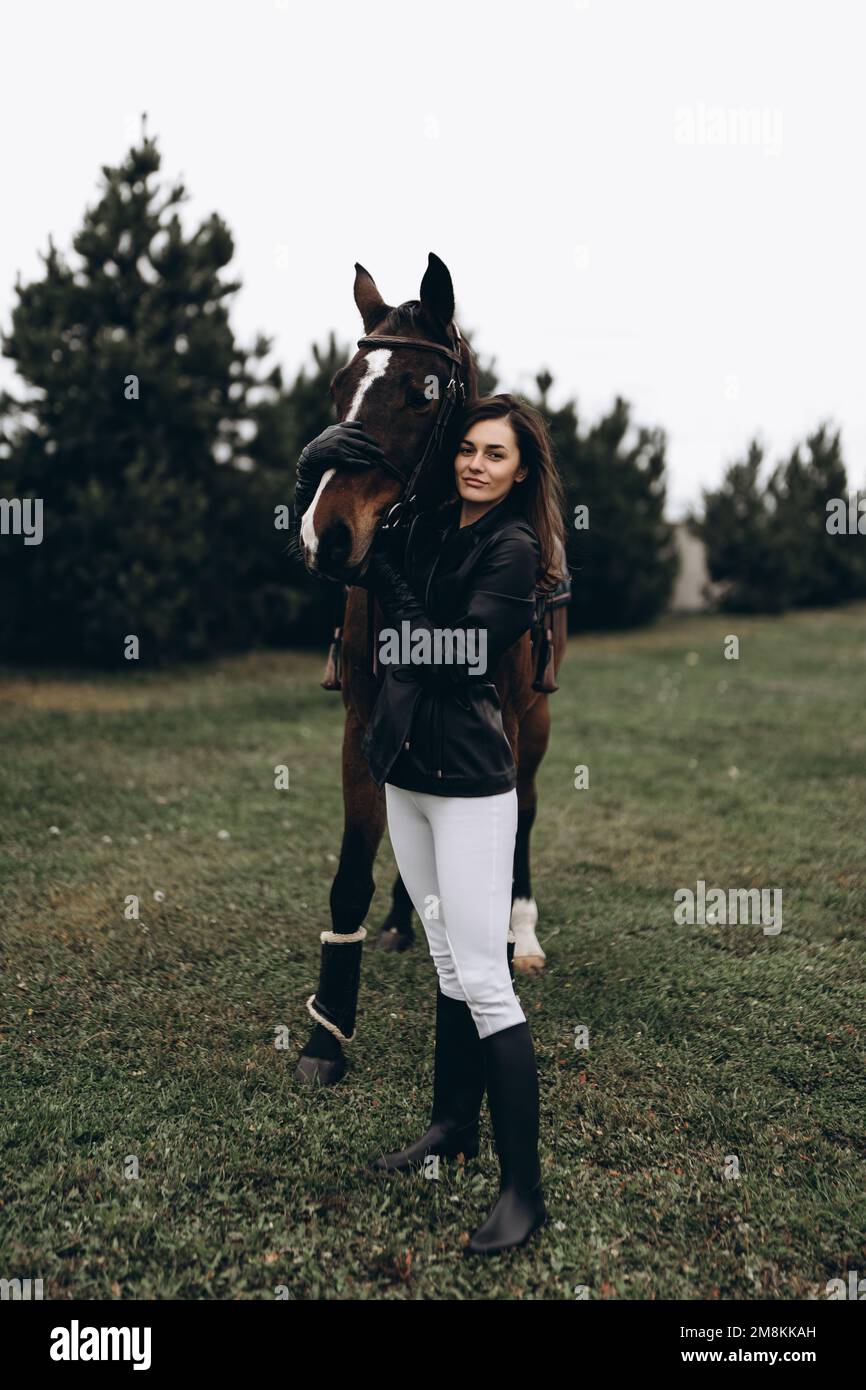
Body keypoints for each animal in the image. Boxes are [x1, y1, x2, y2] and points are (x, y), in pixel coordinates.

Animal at [296, 255, 569, 1089]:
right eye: (340, 384)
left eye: (422, 392)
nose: (328, 537)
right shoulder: (360, 726)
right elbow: (353, 872)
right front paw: (325, 1036)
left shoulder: (503, 724)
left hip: (534, 729)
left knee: (524, 817)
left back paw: (521, 932)